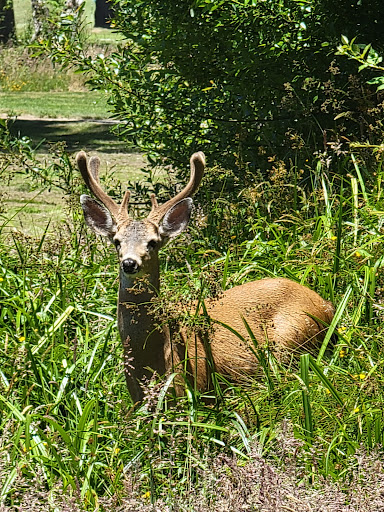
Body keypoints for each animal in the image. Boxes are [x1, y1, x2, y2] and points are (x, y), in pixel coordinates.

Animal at [76, 150, 334, 402]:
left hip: (291, 337)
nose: (130, 263)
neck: (150, 359)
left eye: (153, 242)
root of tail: (327, 305)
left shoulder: (193, 389)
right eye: (117, 241)